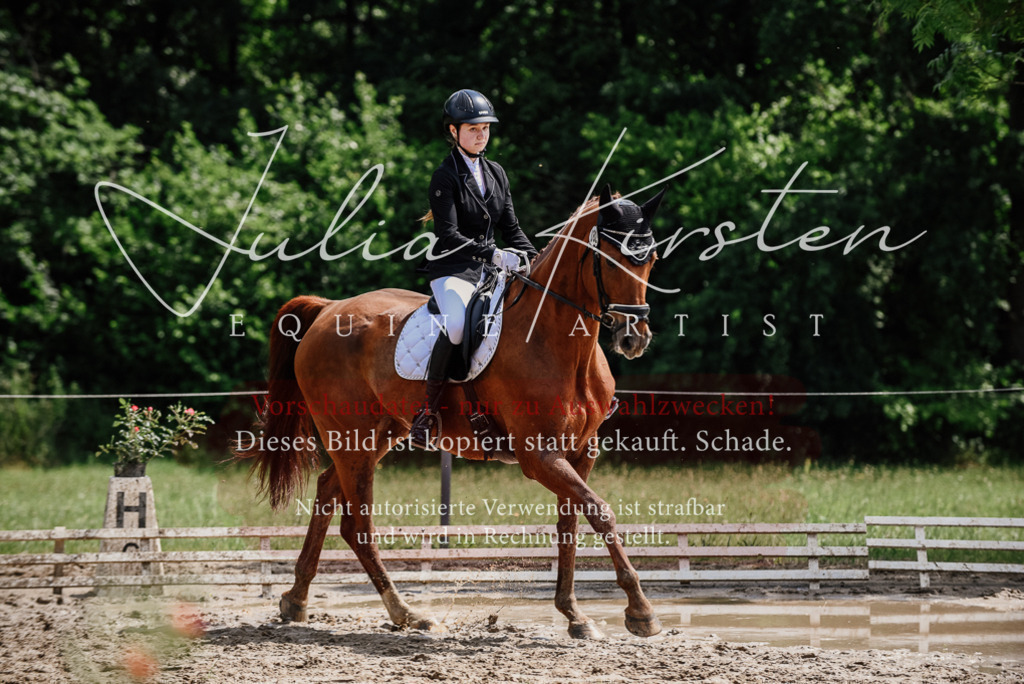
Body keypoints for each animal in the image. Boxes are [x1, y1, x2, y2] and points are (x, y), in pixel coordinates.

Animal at [238, 184, 667, 639]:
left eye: (652, 258)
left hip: (377, 435)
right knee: (359, 527)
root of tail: (329, 309)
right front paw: (641, 612)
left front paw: (574, 614)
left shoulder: (581, 452)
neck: (561, 345)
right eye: (610, 258)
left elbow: (571, 522)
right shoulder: (539, 456)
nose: (633, 338)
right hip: (352, 438)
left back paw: (296, 599)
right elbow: (600, 512)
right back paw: (406, 613)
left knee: (326, 493)